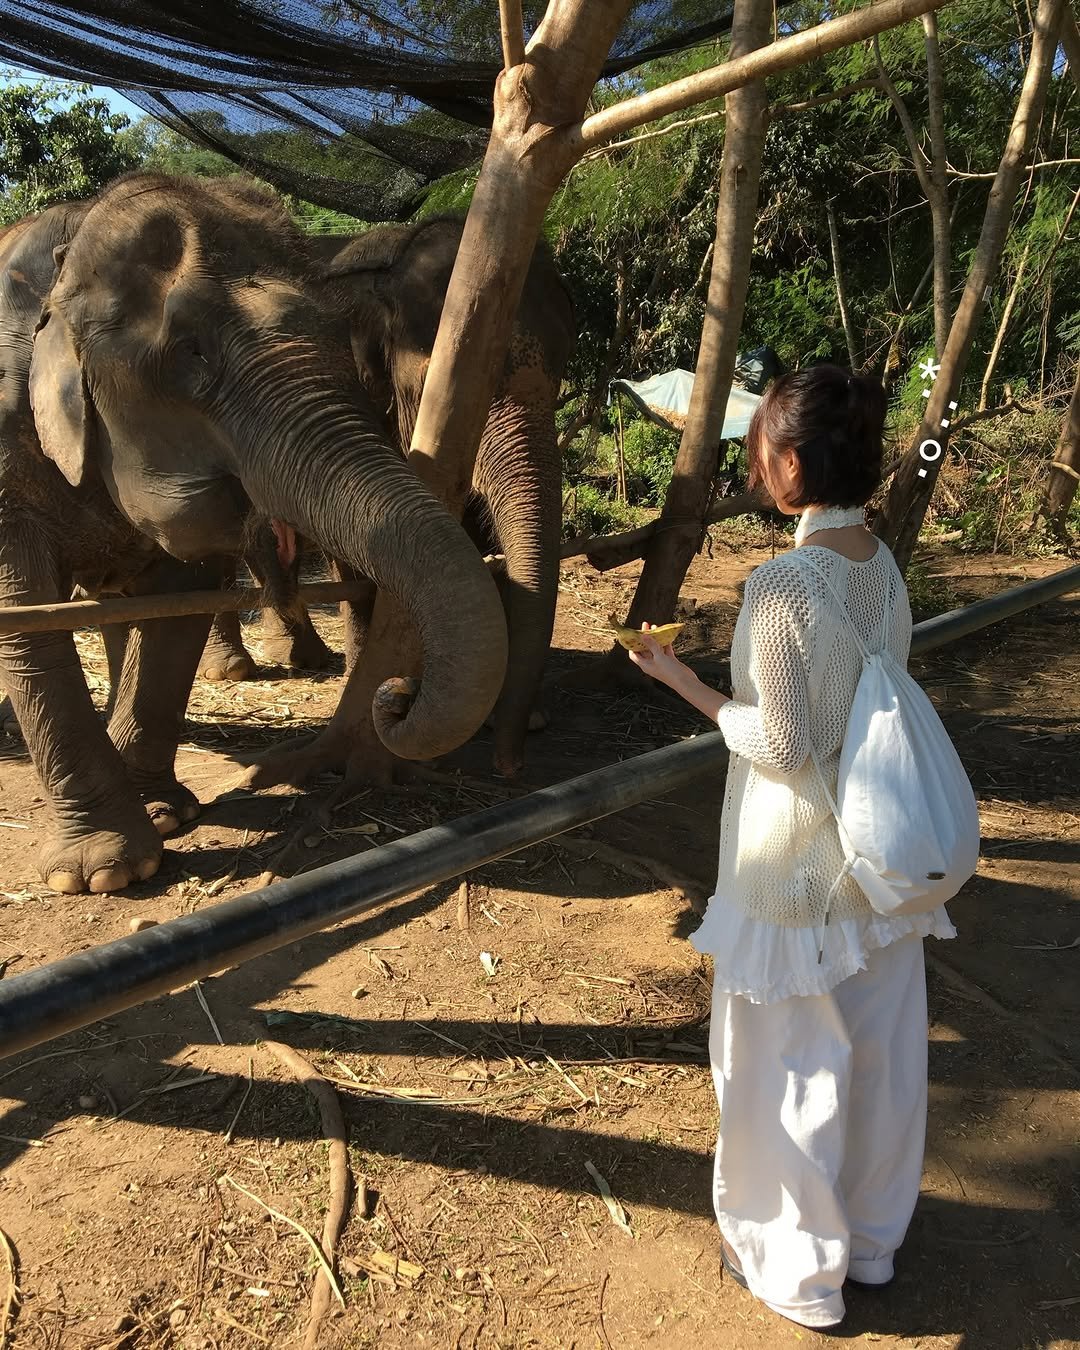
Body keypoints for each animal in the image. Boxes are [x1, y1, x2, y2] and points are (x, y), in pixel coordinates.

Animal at [0, 174, 508, 894]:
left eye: (339, 338)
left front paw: (164, 815)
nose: (397, 695)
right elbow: (27, 620)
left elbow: (177, 607)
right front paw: (105, 873)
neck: (71, 248)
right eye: (188, 353)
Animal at [206, 216, 574, 777]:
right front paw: (368, 684)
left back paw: (301, 656)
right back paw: (234, 671)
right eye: (435, 390)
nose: (509, 763)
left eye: (558, 383)